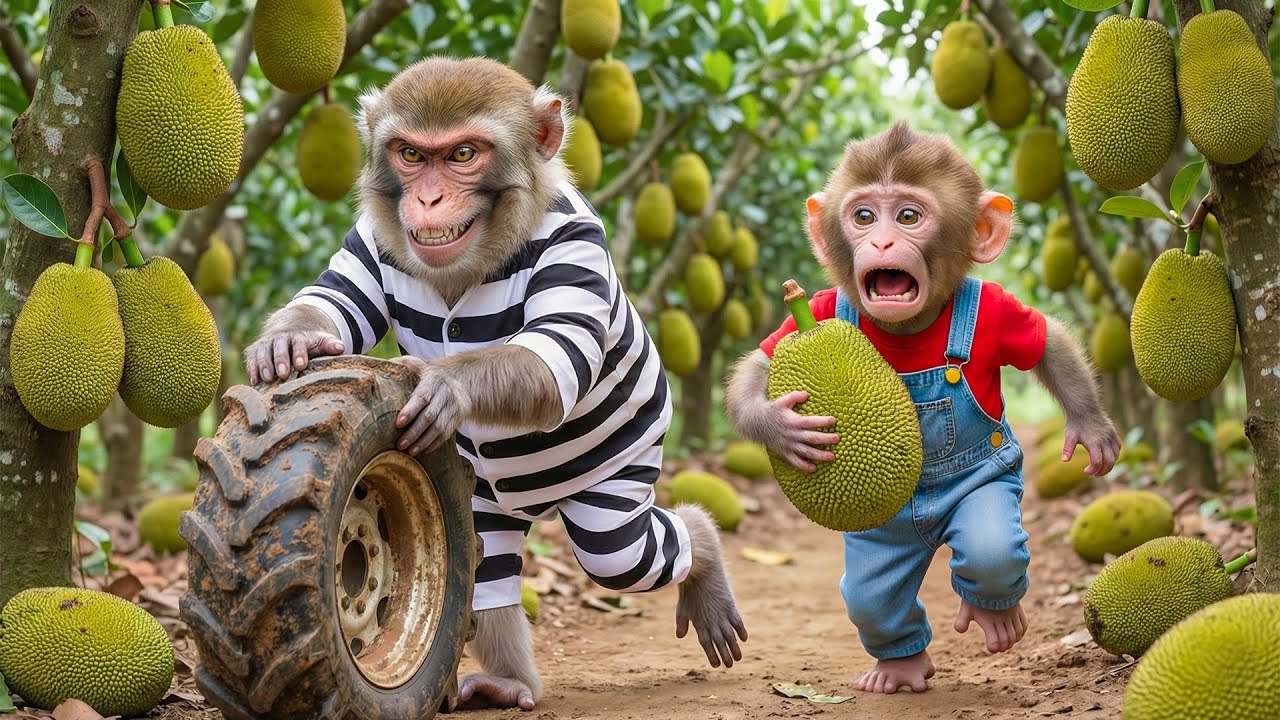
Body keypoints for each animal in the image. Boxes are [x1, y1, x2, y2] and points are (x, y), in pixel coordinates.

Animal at [243, 57, 747, 711]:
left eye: (463, 154)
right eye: (411, 154)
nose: (428, 197)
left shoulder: (576, 240)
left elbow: (554, 355)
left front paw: (444, 385)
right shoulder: (371, 236)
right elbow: (337, 301)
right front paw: (288, 342)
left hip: (629, 460)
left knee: (618, 549)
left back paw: (705, 549)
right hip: (478, 490)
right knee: (487, 563)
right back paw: (509, 682)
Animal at [725, 122, 1120, 695]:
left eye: (909, 217)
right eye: (864, 217)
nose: (883, 242)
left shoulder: (997, 309)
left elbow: (1048, 343)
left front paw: (1092, 430)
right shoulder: (812, 313)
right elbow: (756, 369)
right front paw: (780, 427)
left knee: (990, 550)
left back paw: (997, 617)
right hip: (876, 544)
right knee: (872, 596)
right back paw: (900, 667)